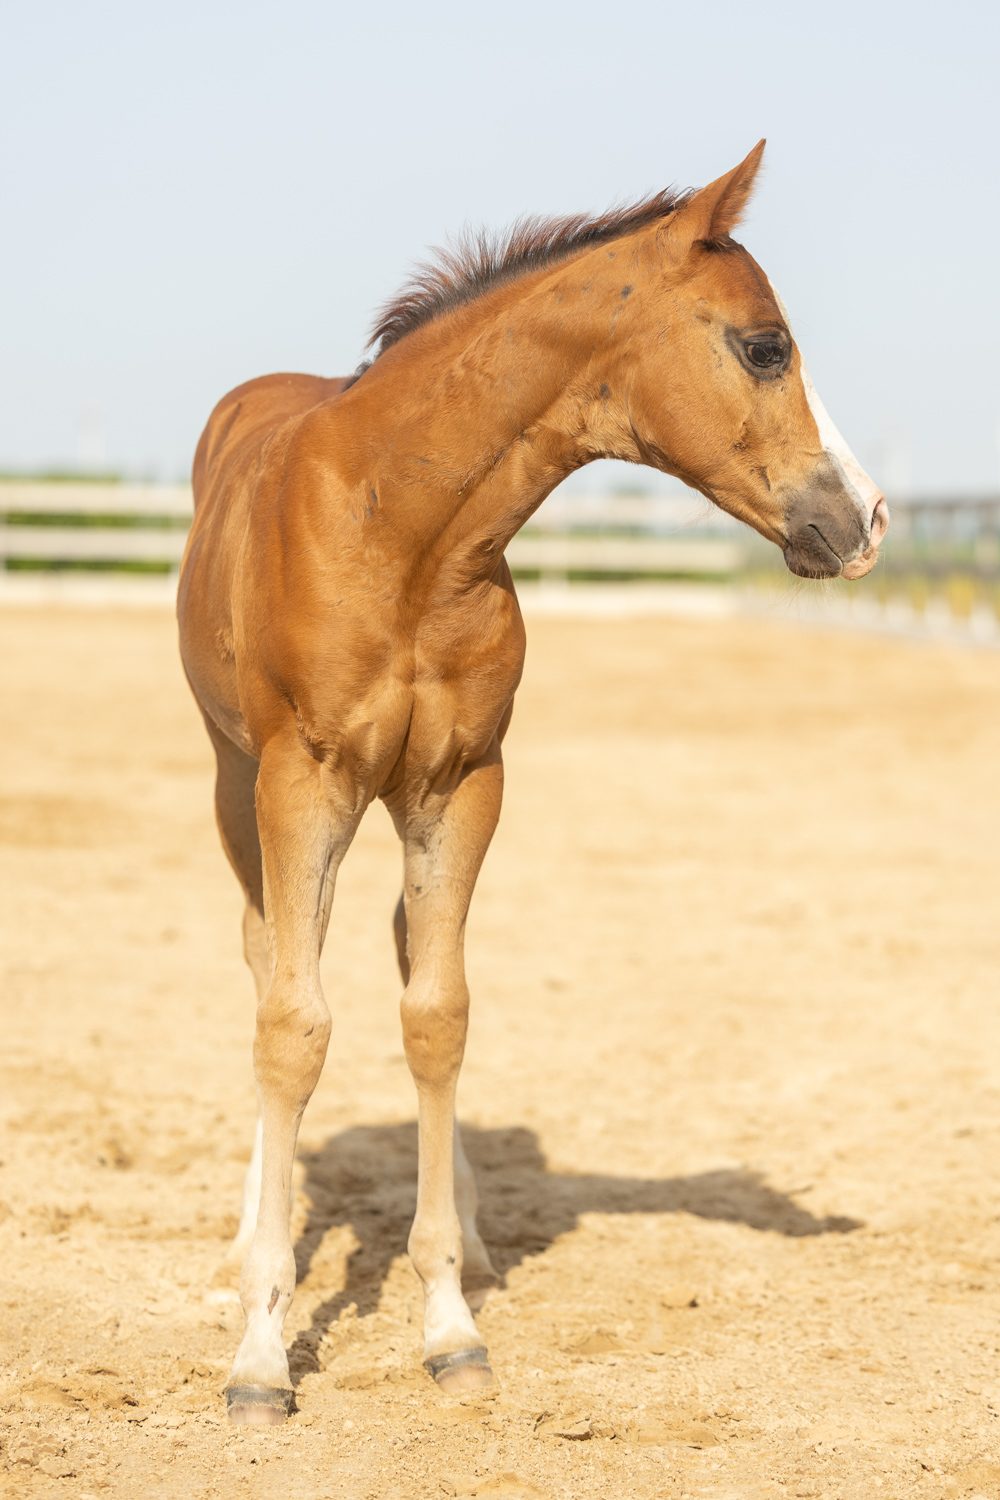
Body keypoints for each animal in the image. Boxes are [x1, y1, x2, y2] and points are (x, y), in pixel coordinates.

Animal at [177, 140, 888, 1425]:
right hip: (234, 779)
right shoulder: (302, 782)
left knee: (405, 956)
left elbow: (439, 1014)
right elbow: (294, 1026)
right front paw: (259, 1352)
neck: (401, 527)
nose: (863, 519)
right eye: (765, 344)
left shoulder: (463, 783)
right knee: (268, 963)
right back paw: (255, 1232)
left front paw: (450, 1322)